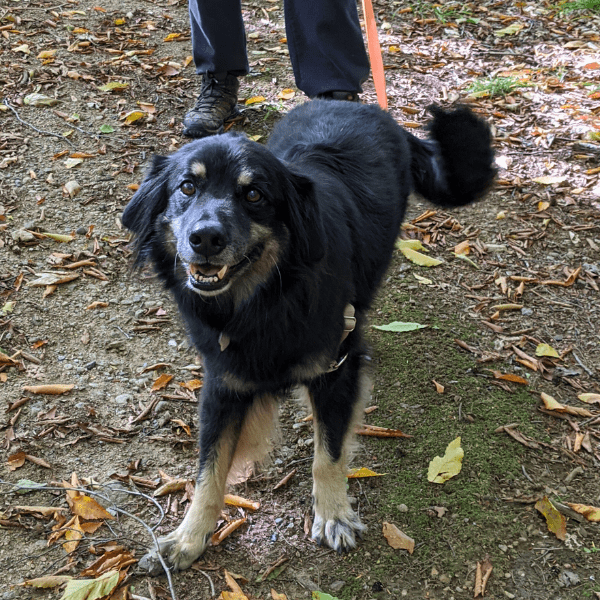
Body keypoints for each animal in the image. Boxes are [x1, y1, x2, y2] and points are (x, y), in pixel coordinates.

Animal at [120, 101, 492, 576]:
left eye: (254, 195)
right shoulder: (223, 382)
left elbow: (327, 453)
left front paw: (333, 514)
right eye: (187, 186)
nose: (204, 238)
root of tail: (359, 105)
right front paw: (188, 537)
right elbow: (209, 470)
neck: (268, 300)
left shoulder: (336, 369)